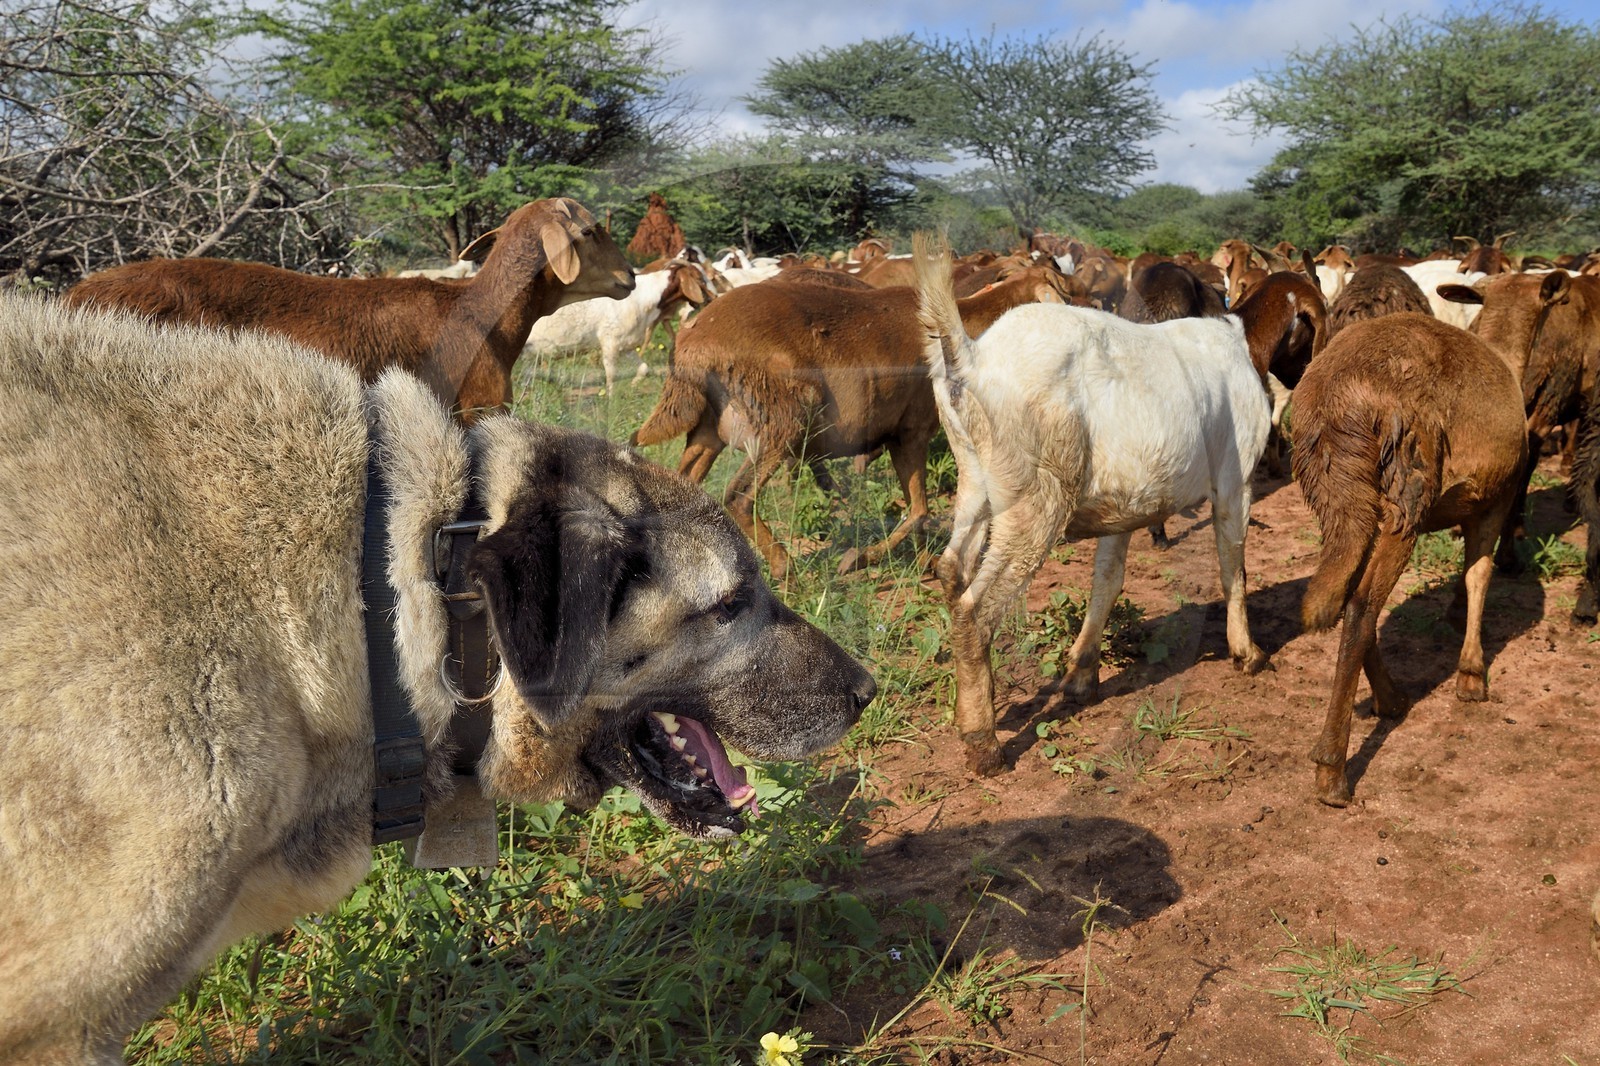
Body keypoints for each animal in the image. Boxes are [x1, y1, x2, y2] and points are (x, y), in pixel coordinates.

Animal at [521, 257, 712, 392]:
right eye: (699, 278)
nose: (710, 299)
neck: (644, 297)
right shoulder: (610, 340)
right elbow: (611, 374)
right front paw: (610, 400)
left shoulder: (626, 344)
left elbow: (644, 368)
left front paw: (633, 385)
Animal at [631, 264, 1074, 579]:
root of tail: (694, 340)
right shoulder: (912, 431)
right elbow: (919, 509)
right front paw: (857, 560)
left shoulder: (900, 436)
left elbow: (918, 509)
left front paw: (893, 562)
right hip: (783, 420)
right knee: (739, 496)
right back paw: (785, 569)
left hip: (709, 431)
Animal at [913, 231, 1314, 776]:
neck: (1243, 341)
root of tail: (970, 355)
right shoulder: (1236, 483)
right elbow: (1234, 564)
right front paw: (1246, 651)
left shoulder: (1126, 505)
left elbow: (1107, 582)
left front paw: (1082, 675)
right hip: (1037, 496)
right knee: (976, 609)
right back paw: (983, 742)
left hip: (977, 482)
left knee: (952, 570)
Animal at [1291, 313, 1527, 806]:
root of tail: (1334, 403)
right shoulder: (1496, 497)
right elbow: (1479, 575)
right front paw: (1472, 675)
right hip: (1408, 489)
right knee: (1362, 607)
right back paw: (1332, 771)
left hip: (1344, 498)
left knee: (1347, 596)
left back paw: (1390, 700)